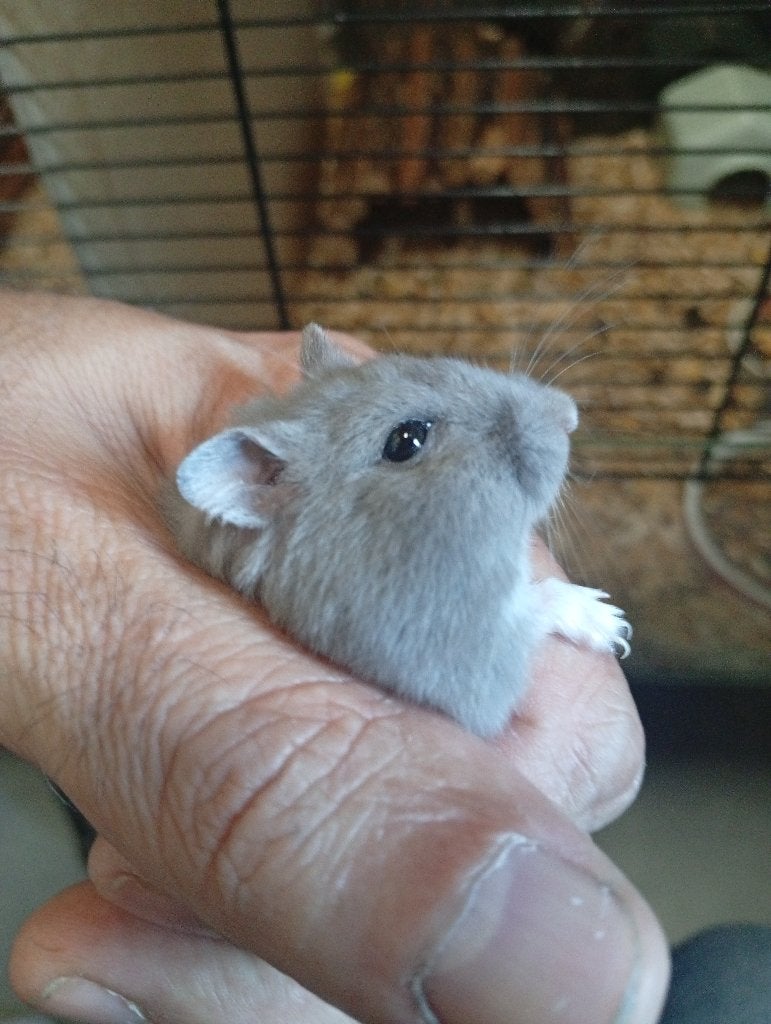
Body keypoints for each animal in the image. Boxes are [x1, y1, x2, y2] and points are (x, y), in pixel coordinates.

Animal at [167, 324, 630, 737]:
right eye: (406, 440)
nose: (570, 414)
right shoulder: (467, 660)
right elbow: (533, 611)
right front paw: (614, 626)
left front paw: (612, 623)